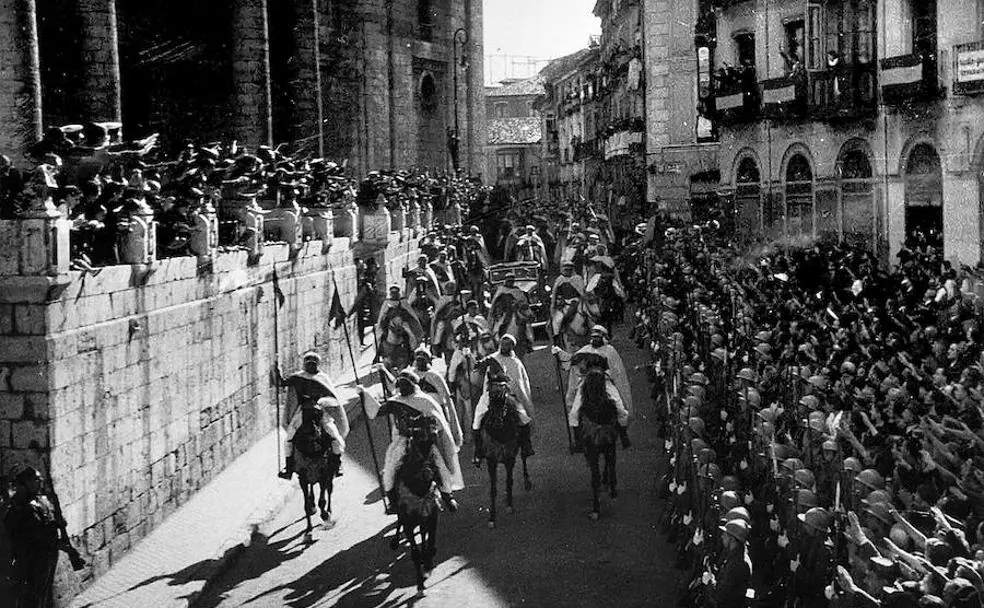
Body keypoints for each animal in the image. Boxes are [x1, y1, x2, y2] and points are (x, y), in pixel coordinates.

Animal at [394, 418, 444, 588]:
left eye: (434, 427)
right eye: (416, 433)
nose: (428, 472)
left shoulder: (432, 516)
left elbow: (431, 543)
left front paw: (427, 566)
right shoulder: (408, 524)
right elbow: (414, 553)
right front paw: (419, 580)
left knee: (423, 533)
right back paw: (394, 542)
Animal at [474, 380, 532, 528]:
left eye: (504, 403)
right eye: (490, 403)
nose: (496, 422)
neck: (500, 435)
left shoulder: (509, 458)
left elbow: (509, 481)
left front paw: (509, 505)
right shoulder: (491, 460)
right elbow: (492, 488)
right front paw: (492, 517)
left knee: (524, 458)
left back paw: (526, 482)